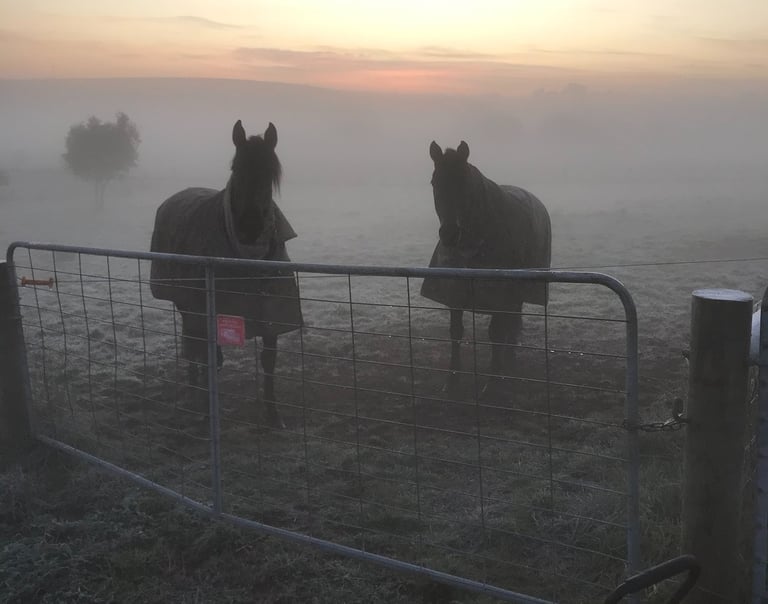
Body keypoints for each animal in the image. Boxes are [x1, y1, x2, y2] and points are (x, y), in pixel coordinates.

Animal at [149, 120, 302, 427]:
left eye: (270, 172)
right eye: (235, 168)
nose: (250, 227)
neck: (247, 257)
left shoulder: (271, 312)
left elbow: (269, 359)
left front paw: (273, 415)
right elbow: (206, 352)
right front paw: (207, 410)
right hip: (187, 303)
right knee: (194, 345)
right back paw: (195, 392)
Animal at [421, 140, 552, 392]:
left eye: (465, 183)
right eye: (434, 182)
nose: (449, 234)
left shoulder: (499, 294)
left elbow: (496, 333)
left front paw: (493, 380)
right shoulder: (456, 291)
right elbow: (456, 332)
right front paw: (452, 380)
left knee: (511, 323)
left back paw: (509, 362)